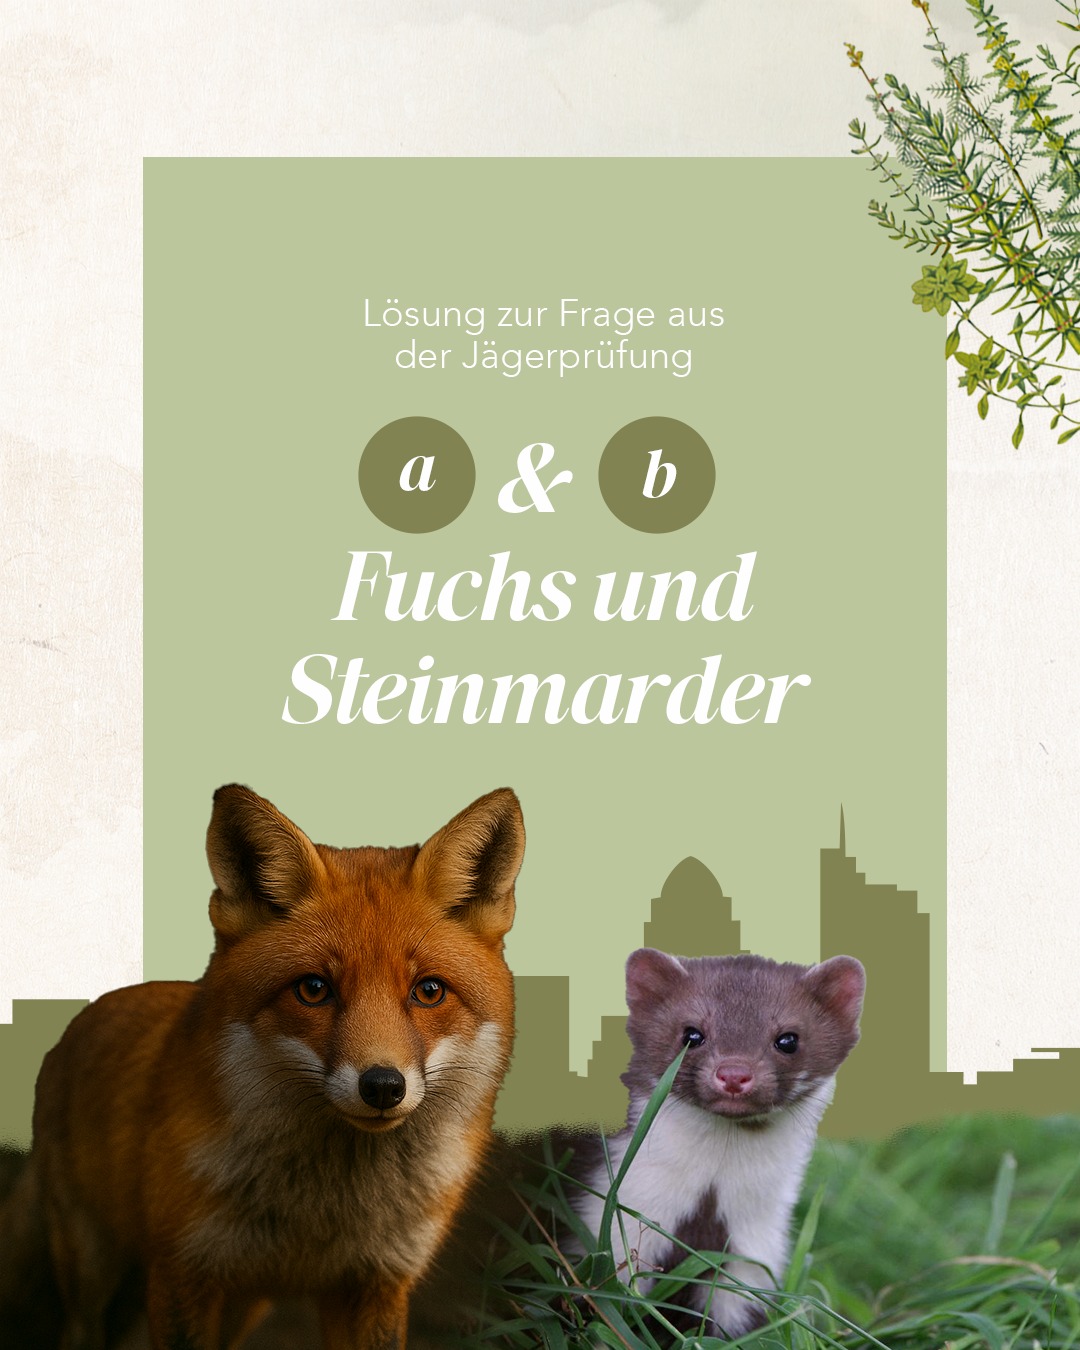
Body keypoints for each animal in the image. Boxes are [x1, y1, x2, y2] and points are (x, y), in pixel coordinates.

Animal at [15, 783, 525, 1350]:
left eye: (429, 991)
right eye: (314, 989)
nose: (382, 1086)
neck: (321, 1212)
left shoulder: (375, 1283)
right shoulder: (182, 1272)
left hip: (244, 1304)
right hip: (92, 1271)